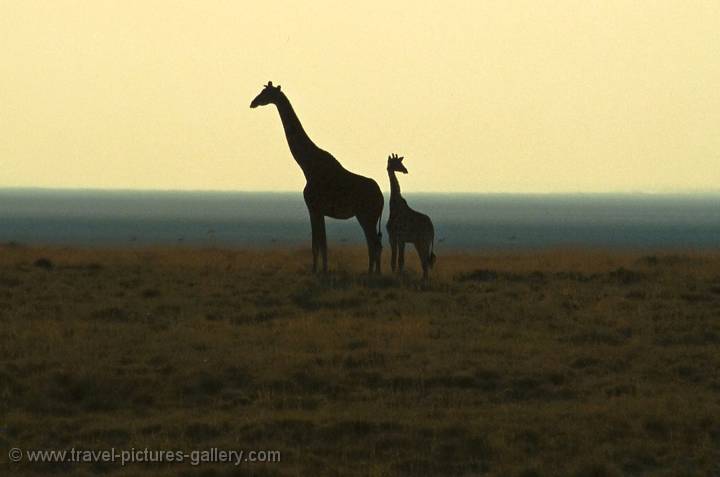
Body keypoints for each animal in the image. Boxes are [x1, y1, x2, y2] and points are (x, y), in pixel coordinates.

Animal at [249, 81, 382, 274]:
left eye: (266, 93)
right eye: (262, 91)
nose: (253, 102)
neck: (308, 166)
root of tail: (382, 197)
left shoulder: (313, 208)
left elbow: (317, 244)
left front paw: (317, 271)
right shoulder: (319, 211)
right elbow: (321, 243)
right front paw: (322, 270)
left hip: (367, 216)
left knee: (375, 244)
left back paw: (374, 274)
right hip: (365, 217)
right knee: (374, 244)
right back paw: (373, 273)